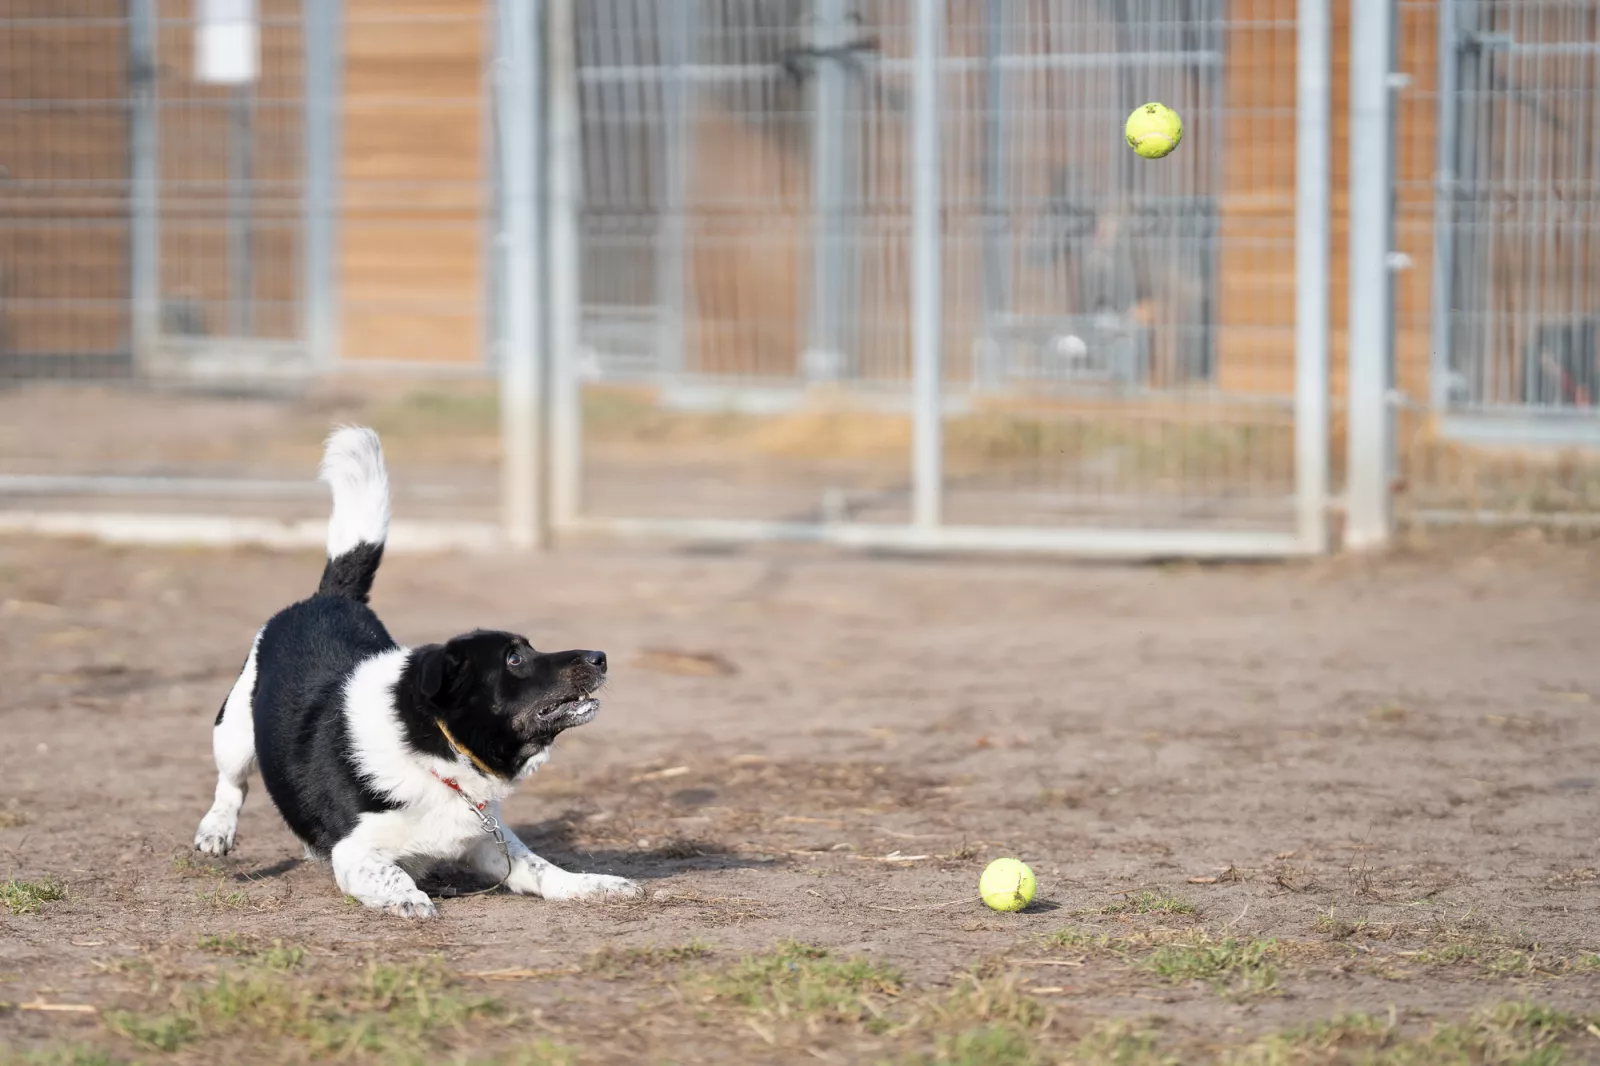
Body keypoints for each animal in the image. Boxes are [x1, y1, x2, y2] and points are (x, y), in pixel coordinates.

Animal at [193, 426, 638, 917]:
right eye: (513, 659)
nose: (600, 656)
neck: (435, 753)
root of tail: (331, 597)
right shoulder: (354, 852)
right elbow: (392, 873)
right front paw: (410, 899)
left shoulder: (490, 842)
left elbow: (545, 870)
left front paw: (597, 883)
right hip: (234, 729)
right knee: (231, 783)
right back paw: (216, 830)